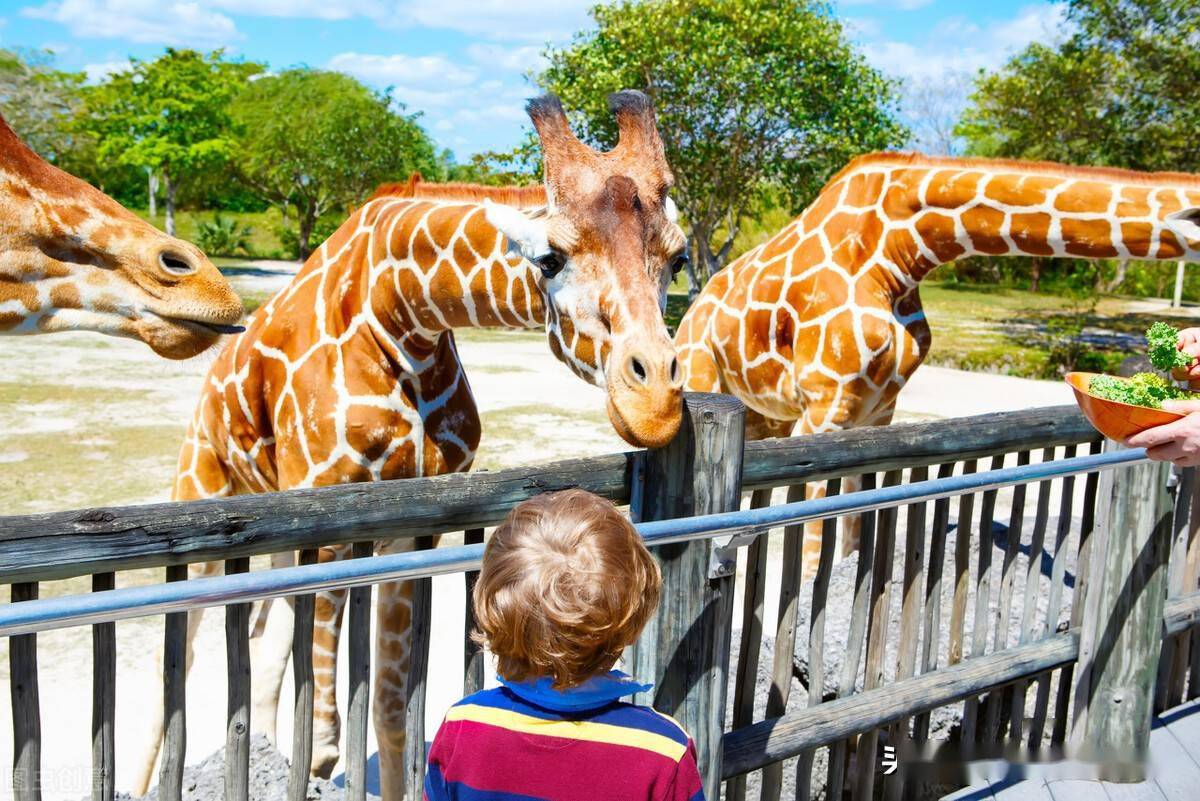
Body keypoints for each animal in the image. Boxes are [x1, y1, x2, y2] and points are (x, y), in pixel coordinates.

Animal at [132, 92, 691, 796]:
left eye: (677, 258)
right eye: (550, 258)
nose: (656, 404)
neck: (404, 314)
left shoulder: (412, 524)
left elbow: (392, 707)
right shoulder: (328, 513)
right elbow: (324, 722)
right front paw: (316, 757)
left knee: (265, 640)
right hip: (204, 480)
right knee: (176, 653)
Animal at [676, 151, 1200, 575]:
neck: (898, 254)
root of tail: (694, 309)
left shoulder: (875, 411)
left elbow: (850, 536)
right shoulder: (823, 410)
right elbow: (807, 549)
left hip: (768, 414)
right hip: (704, 373)